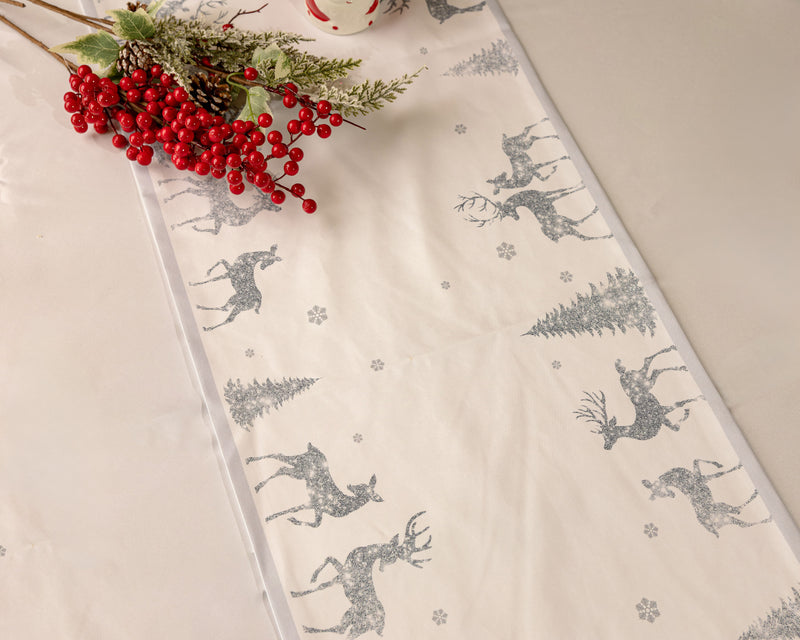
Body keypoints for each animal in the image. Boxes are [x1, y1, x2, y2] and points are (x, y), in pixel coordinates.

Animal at [245, 442, 383, 527]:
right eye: (361, 485)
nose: (350, 486)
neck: (343, 505)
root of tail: (311, 448)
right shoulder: (315, 502)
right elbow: (294, 509)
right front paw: (269, 517)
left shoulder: (318, 508)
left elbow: (316, 524)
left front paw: (293, 520)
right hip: (299, 462)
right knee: (278, 455)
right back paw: (249, 461)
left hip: (300, 472)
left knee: (282, 468)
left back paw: (257, 485)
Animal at [291, 511, 432, 638]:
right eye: (392, 556)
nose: (382, 569)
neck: (361, 558)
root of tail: (380, 627)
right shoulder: (342, 575)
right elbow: (325, 575)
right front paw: (307, 583)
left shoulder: (344, 575)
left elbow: (323, 580)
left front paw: (297, 591)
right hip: (355, 620)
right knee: (342, 630)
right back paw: (307, 628)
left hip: (358, 621)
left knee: (342, 631)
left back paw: (307, 628)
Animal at [455, 184, 613, 242]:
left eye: (508, 211)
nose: (517, 218)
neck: (528, 198)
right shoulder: (549, 196)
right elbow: (564, 192)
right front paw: (580, 184)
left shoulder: (547, 195)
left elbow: (564, 190)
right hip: (564, 223)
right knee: (582, 231)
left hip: (564, 220)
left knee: (580, 228)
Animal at [574, 345, 703, 450]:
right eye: (602, 434)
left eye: (609, 433)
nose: (606, 447)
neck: (640, 428)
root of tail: (623, 374)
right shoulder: (663, 415)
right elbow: (676, 426)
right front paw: (688, 411)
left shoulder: (661, 412)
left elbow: (678, 405)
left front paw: (699, 398)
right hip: (644, 378)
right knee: (653, 368)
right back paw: (680, 363)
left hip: (644, 381)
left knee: (651, 365)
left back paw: (677, 359)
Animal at [642, 459, 773, 537]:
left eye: (662, 493)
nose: (672, 495)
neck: (681, 479)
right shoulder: (704, 478)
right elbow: (720, 473)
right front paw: (737, 465)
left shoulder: (702, 477)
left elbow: (697, 461)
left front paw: (719, 464)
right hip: (723, 509)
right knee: (739, 513)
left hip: (727, 519)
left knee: (743, 521)